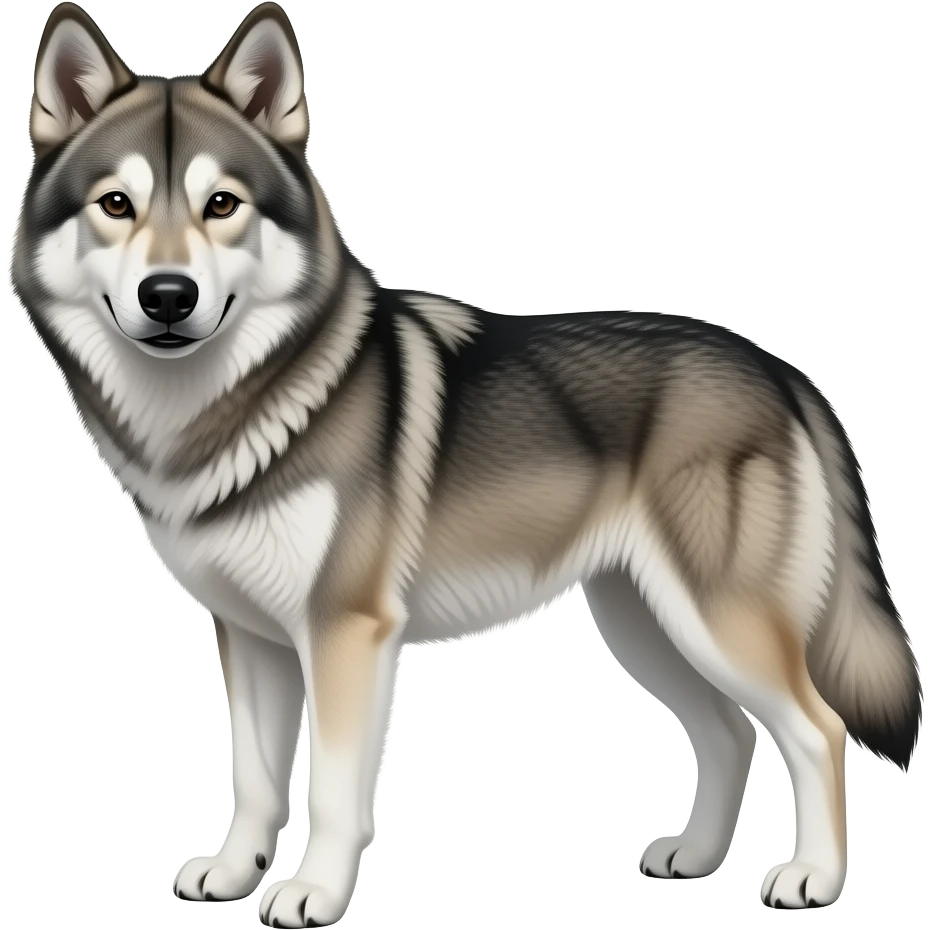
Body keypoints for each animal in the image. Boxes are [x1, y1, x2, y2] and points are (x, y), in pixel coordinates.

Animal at [11, 1, 922, 924]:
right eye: (115, 204)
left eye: (221, 204)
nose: (168, 296)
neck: (222, 408)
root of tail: (782, 371)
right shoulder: (252, 636)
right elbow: (257, 780)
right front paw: (234, 876)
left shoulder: (345, 631)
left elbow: (332, 788)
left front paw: (314, 893)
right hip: (644, 621)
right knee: (730, 732)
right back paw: (696, 857)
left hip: (714, 621)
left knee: (816, 729)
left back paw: (812, 879)